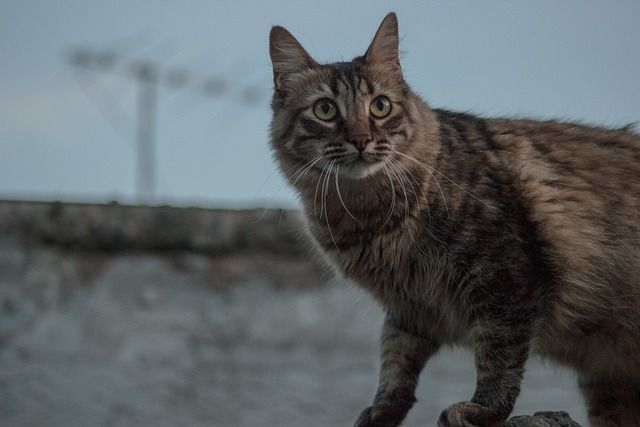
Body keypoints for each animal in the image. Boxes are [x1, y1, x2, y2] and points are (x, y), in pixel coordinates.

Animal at [266, 11, 640, 426]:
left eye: (380, 106)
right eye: (326, 110)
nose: (361, 140)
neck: (370, 216)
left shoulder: (506, 284)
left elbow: (498, 361)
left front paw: (481, 410)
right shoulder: (408, 309)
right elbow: (394, 365)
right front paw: (380, 412)